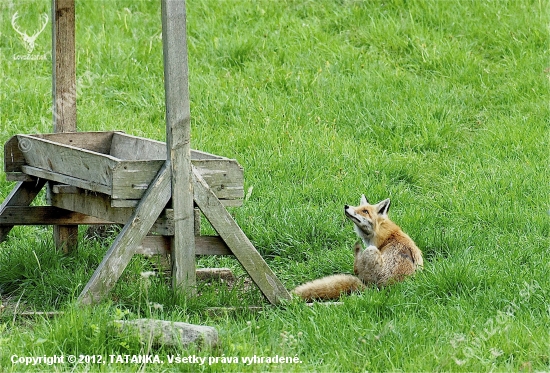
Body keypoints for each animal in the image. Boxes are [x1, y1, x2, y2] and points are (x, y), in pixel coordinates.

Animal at [294, 196, 426, 300]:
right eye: (358, 206)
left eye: (365, 211)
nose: (346, 206)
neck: (386, 235)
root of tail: (379, 289)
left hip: (370, 251)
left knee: (357, 269)